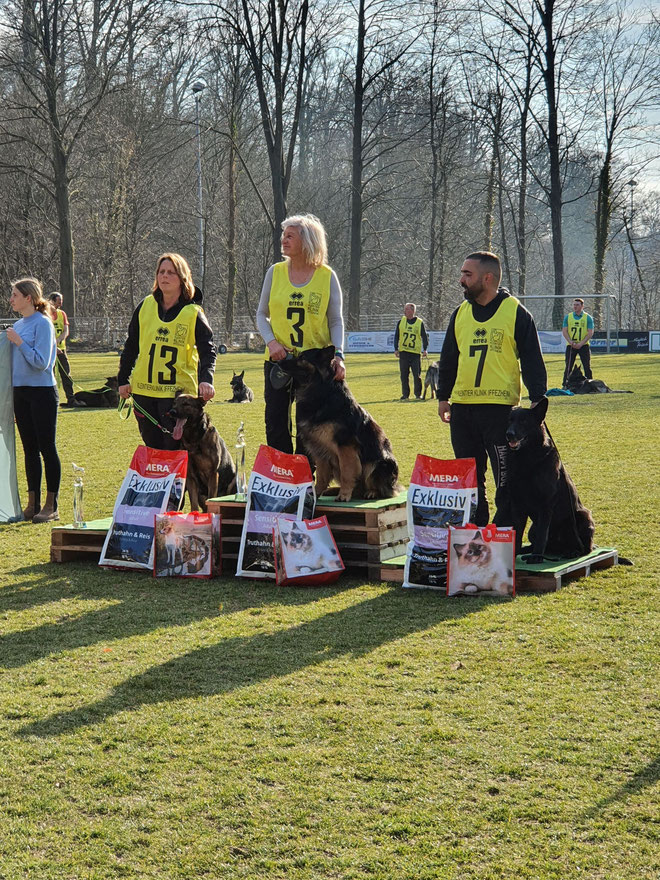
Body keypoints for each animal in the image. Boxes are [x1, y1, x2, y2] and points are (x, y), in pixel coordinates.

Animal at [276, 348, 400, 506]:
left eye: (302, 357)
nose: (278, 361)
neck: (321, 390)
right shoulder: (320, 449)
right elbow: (322, 476)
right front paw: (315, 494)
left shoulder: (345, 447)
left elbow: (347, 472)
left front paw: (344, 495)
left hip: (377, 463)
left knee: (382, 489)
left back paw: (371, 492)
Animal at [502, 398, 596, 564]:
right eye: (510, 420)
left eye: (523, 421)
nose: (509, 434)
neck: (527, 458)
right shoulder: (517, 505)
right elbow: (517, 532)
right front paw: (514, 554)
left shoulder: (545, 505)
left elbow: (542, 534)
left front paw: (537, 557)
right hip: (532, 528)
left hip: (583, 518)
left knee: (584, 549)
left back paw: (571, 552)